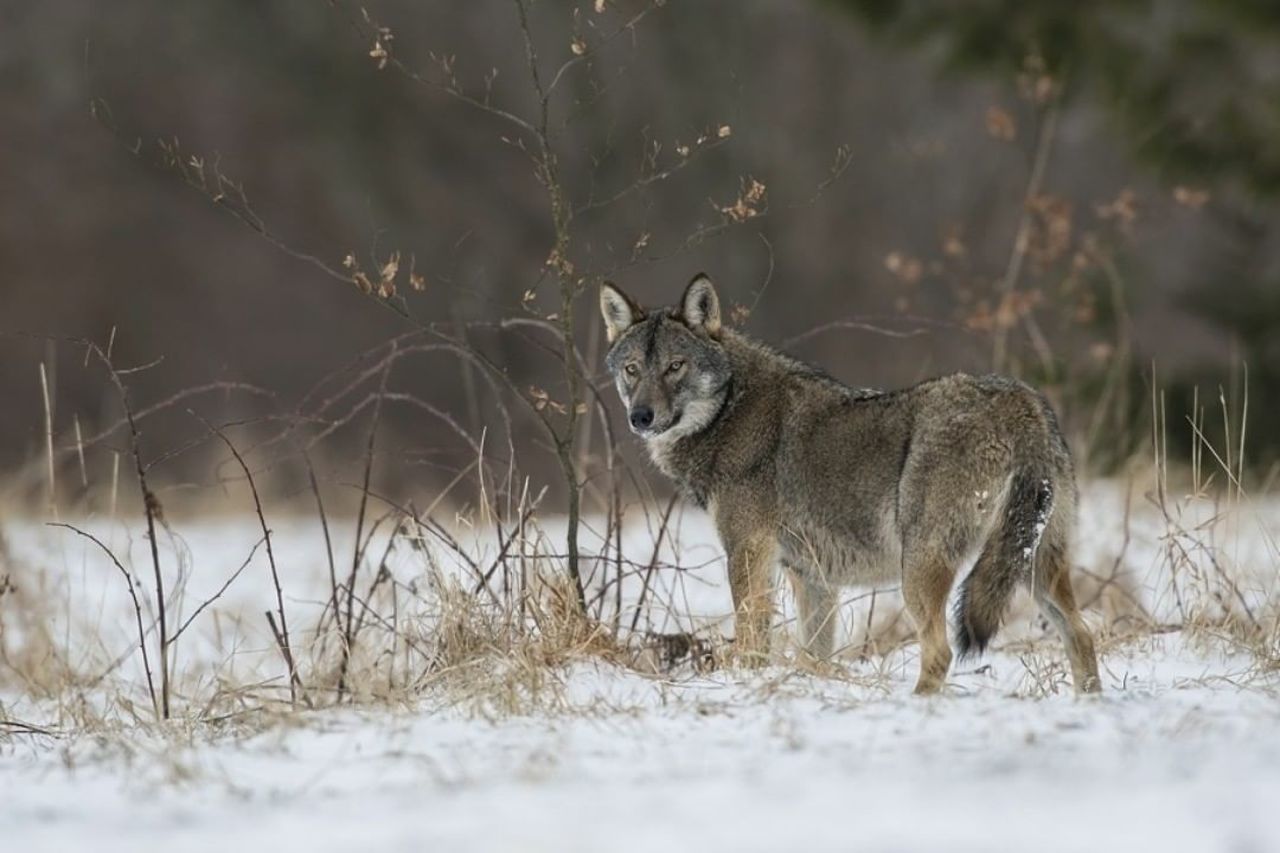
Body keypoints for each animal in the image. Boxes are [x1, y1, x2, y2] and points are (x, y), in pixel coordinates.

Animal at [599, 272, 1100, 691]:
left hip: (920, 569)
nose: (640, 417)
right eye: (632, 369)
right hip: (1032, 565)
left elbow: (751, 643)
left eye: (675, 366)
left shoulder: (748, 554)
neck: (729, 410)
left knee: (940, 651)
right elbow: (815, 655)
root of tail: (1021, 402)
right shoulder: (812, 578)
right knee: (1082, 635)